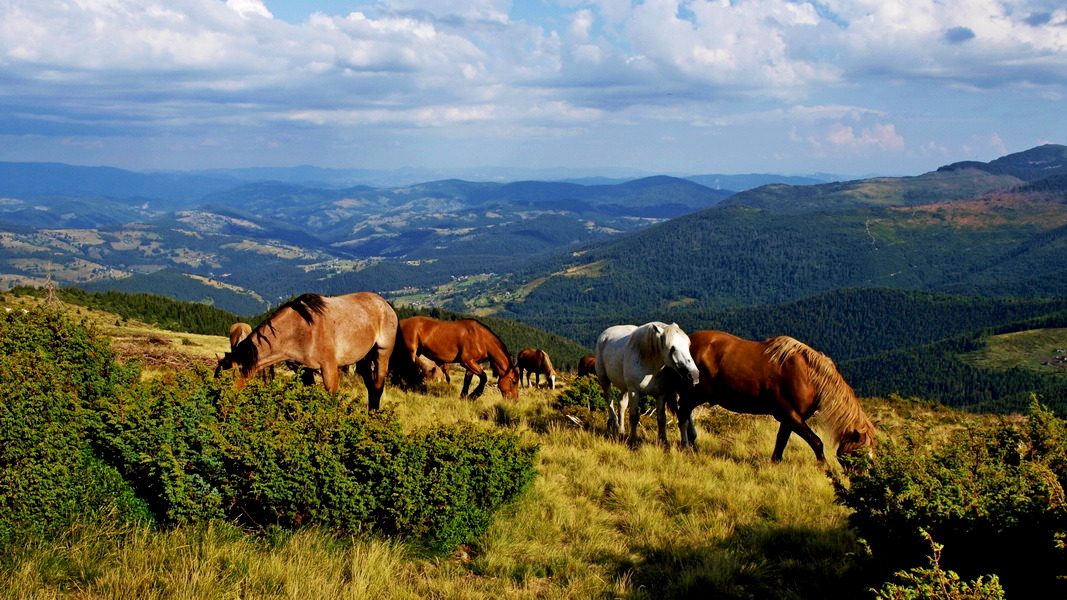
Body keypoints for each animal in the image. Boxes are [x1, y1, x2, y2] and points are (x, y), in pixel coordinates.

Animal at [214, 292, 399, 407]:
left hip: (382, 354)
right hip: (363, 359)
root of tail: (384, 304)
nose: (217, 404)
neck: (299, 329)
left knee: (377, 388)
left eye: (225, 381)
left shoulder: (329, 368)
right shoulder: (304, 369)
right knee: (370, 387)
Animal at [665, 326, 874, 463]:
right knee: (683, 417)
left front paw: (775, 463)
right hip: (692, 396)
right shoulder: (790, 415)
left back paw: (692, 442)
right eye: (860, 455)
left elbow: (781, 441)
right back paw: (686, 446)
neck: (807, 375)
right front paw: (826, 470)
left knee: (686, 415)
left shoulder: (790, 417)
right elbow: (816, 443)